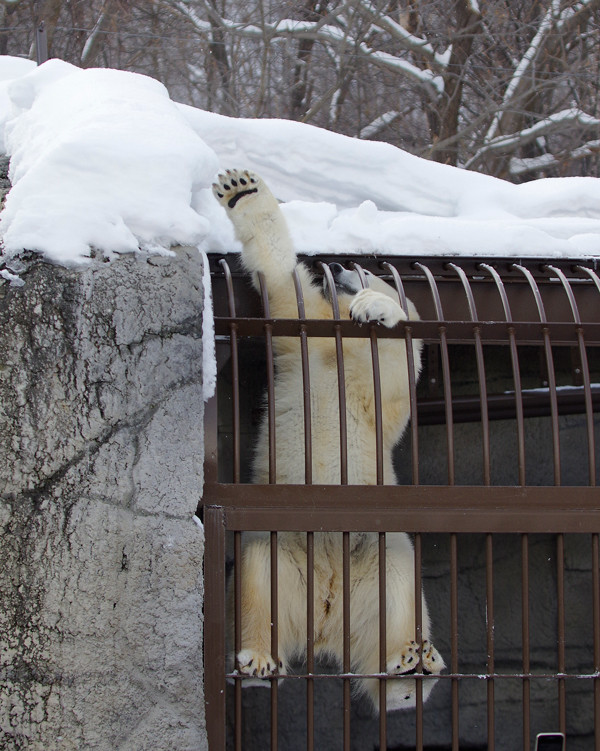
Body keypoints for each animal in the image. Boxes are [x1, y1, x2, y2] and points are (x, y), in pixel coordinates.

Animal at [213, 169, 442, 712]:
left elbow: (399, 362)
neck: (342, 352)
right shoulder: (305, 341)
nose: (338, 263)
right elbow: (282, 281)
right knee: (257, 581)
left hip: (380, 552)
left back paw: (410, 669)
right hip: (279, 544)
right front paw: (241, 188)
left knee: (399, 593)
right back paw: (257, 662)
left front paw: (375, 308)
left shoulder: (379, 393)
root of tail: (326, 616)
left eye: (369, 271)